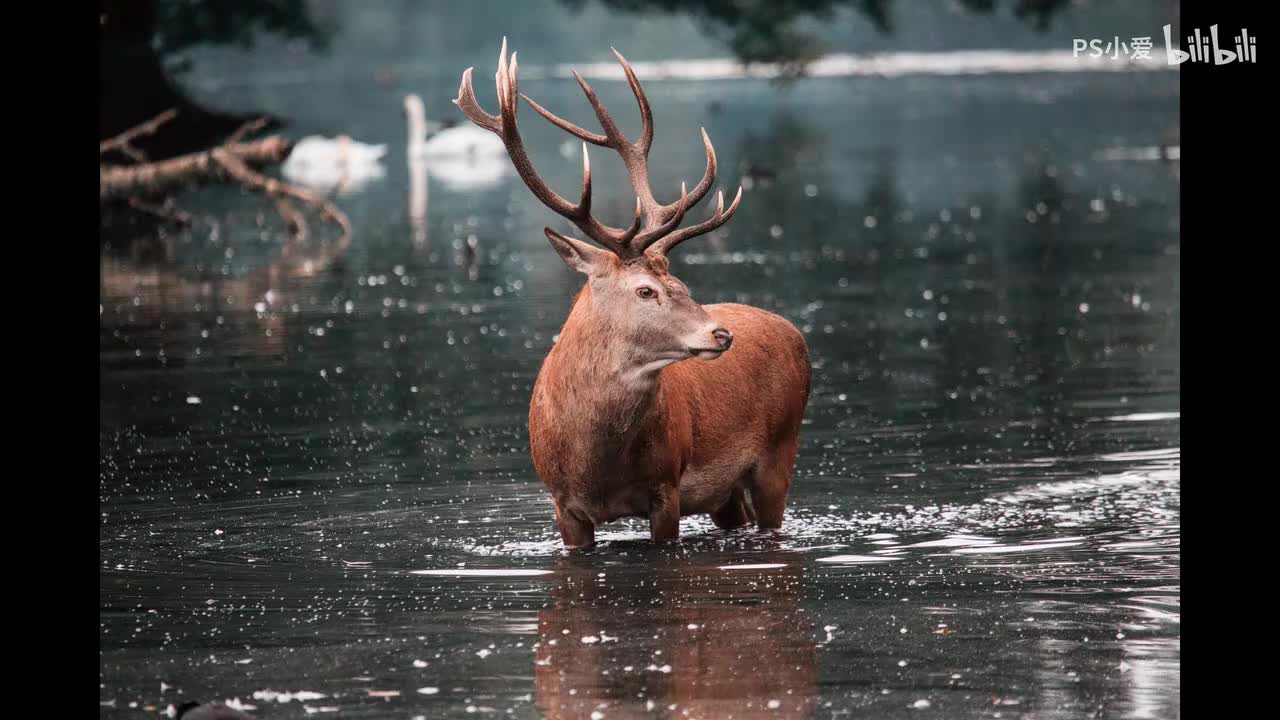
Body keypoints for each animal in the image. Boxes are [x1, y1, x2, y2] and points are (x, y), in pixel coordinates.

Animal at [454, 39, 811, 548]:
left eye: (681, 284)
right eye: (646, 291)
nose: (721, 335)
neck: (597, 466)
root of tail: (794, 333)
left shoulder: (667, 486)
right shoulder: (561, 503)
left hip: (781, 449)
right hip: (726, 493)